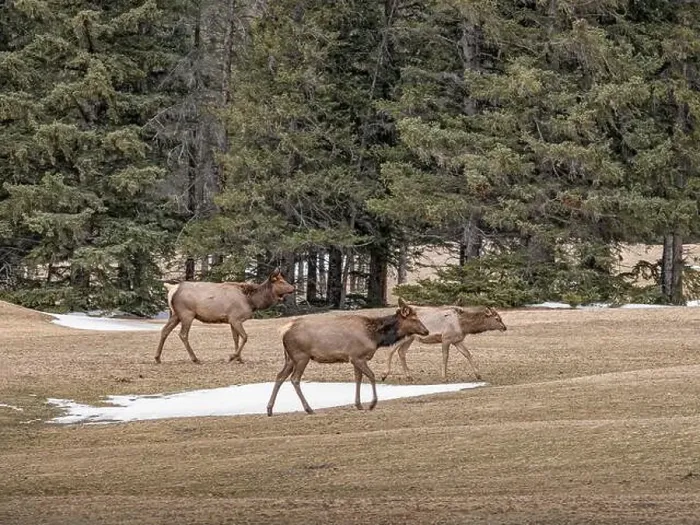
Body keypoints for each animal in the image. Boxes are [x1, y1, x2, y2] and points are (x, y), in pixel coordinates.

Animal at [154, 268, 295, 364]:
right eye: (281, 281)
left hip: (175, 314)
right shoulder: (235, 318)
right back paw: (195, 359)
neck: (252, 301)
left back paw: (157, 358)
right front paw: (232, 357)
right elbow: (245, 337)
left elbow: (236, 338)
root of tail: (172, 289)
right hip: (187, 313)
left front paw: (239, 358)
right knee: (183, 334)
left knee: (165, 330)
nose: (293, 288)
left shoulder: (232, 320)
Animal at [266, 297, 429, 416]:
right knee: (294, 379)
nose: (426, 331)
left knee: (280, 376)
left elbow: (358, 378)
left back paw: (269, 409)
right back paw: (308, 409)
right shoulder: (357, 356)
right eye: (414, 318)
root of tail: (284, 330)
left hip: (289, 358)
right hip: (301, 356)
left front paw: (359, 404)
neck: (376, 337)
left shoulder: (355, 359)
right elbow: (371, 376)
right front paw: (372, 404)